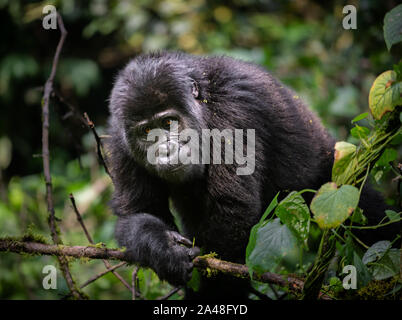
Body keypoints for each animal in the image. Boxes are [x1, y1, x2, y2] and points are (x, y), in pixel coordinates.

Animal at [107, 51, 398, 298]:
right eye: (147, 132)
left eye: (168, 122)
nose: (165, 150)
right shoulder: (119, 141)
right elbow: (139, 213)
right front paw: (162, 250)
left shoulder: (234, 110)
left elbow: (233, 210)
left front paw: (211, 291)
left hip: (338, 180)